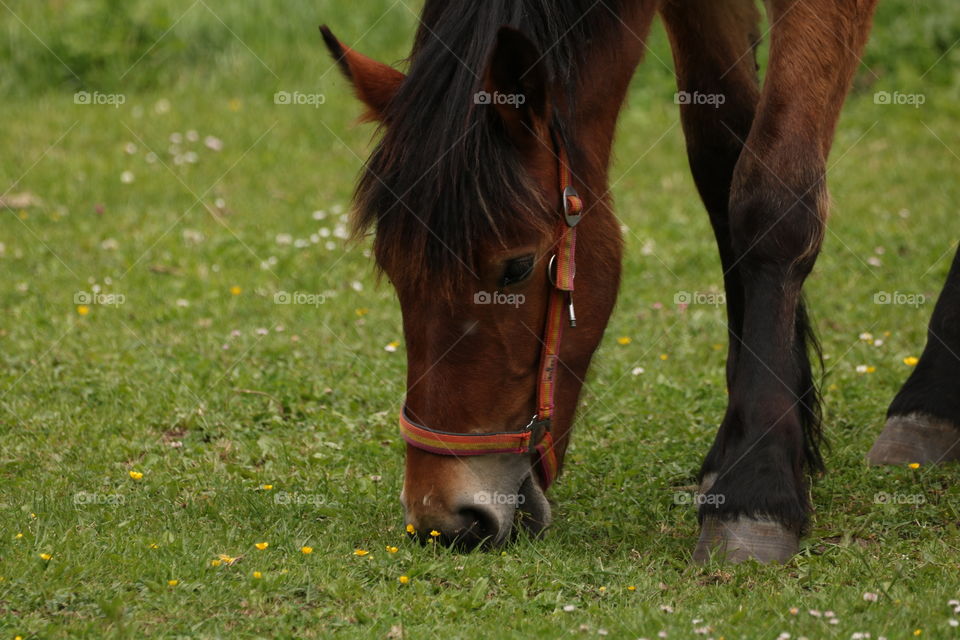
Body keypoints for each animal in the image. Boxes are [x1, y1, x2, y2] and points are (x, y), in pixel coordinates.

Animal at [320, 0, 960, 563]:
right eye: (393, 270)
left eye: (517, 267)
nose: (444, 517)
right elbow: (722, 164)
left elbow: (771, 198)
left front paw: (756, 489)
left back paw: (930, 403)